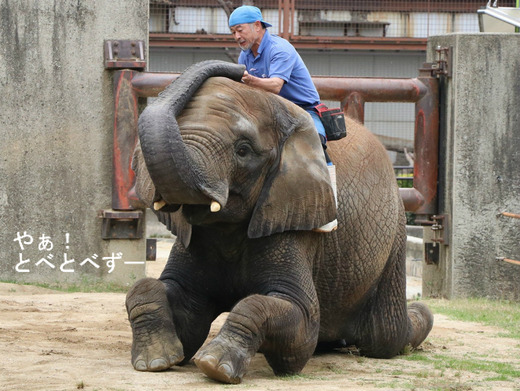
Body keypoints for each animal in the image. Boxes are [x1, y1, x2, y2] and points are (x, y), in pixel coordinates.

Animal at [127, 59, 434, 384]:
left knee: (383, 336)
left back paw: (416, 315)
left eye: (243, 150)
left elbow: (298, 322)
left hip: (394, 232)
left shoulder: (295, 220)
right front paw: (156, 359)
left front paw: (215, 365)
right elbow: (165, 301)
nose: (238, 68)